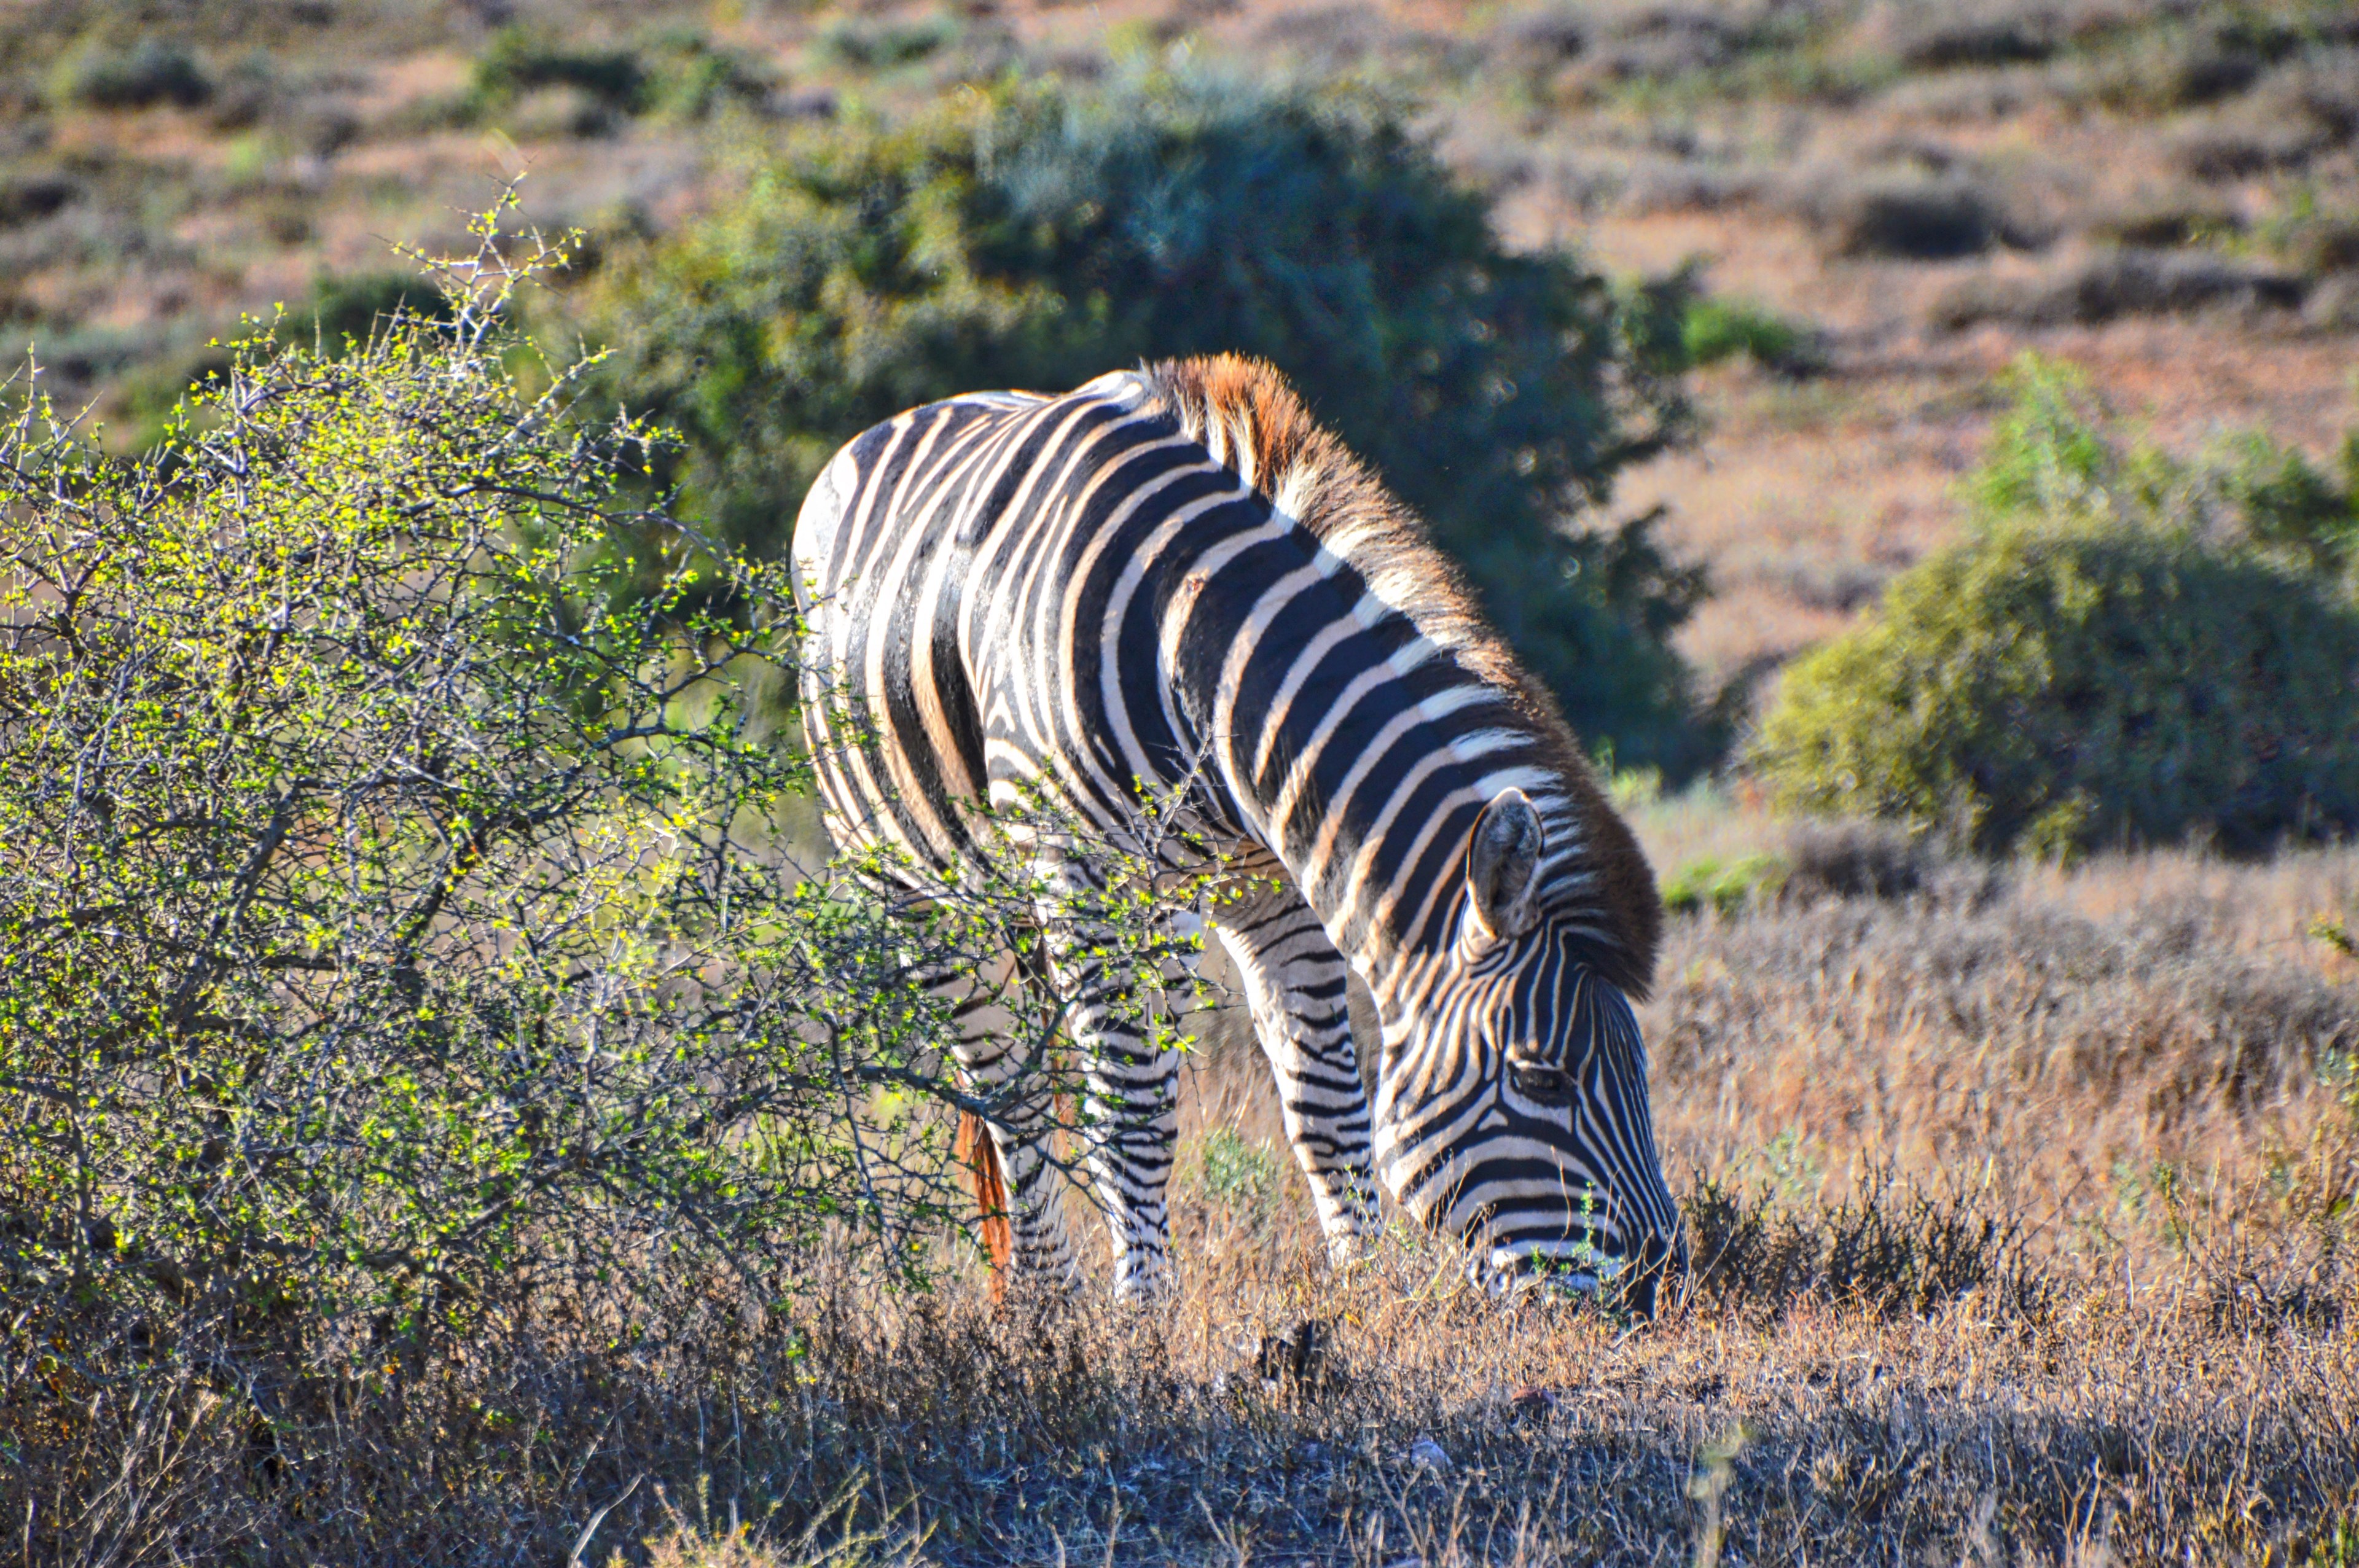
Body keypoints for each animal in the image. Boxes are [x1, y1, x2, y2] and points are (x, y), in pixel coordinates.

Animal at [791, 354, 1684, 1308]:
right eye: (1538, 1077)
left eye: (1640, 1069)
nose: (1664, 1288)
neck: (1200, 658)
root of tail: (900, 419)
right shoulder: (1087, 881)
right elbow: (1133, 1112)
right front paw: (1145, 1315)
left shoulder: (1277, 884)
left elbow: (1326, 1103)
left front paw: (1364, 1292)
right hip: (911, 884)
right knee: (1008, 1092)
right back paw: (1046, 1303)